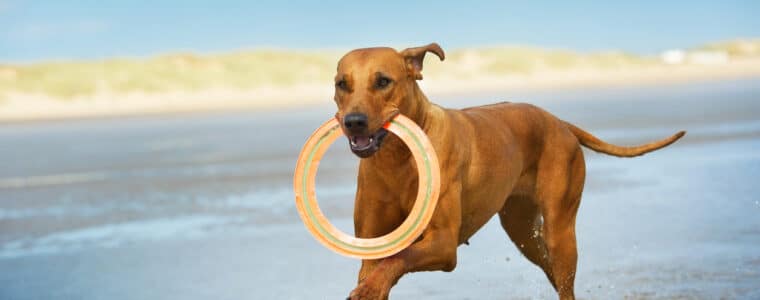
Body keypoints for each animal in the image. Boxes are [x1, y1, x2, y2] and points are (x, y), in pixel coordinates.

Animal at [334, 42, 688, 300]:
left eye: (383, 81)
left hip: (560, 231)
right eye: (342, 84)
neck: (398, 158)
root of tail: (559, 122)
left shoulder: (444, 244)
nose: (353, 122)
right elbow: (380, 264)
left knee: (565, 282)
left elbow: (398, 259)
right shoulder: (372, 244)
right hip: (524, 234)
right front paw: (370, 286)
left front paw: (370, 288)